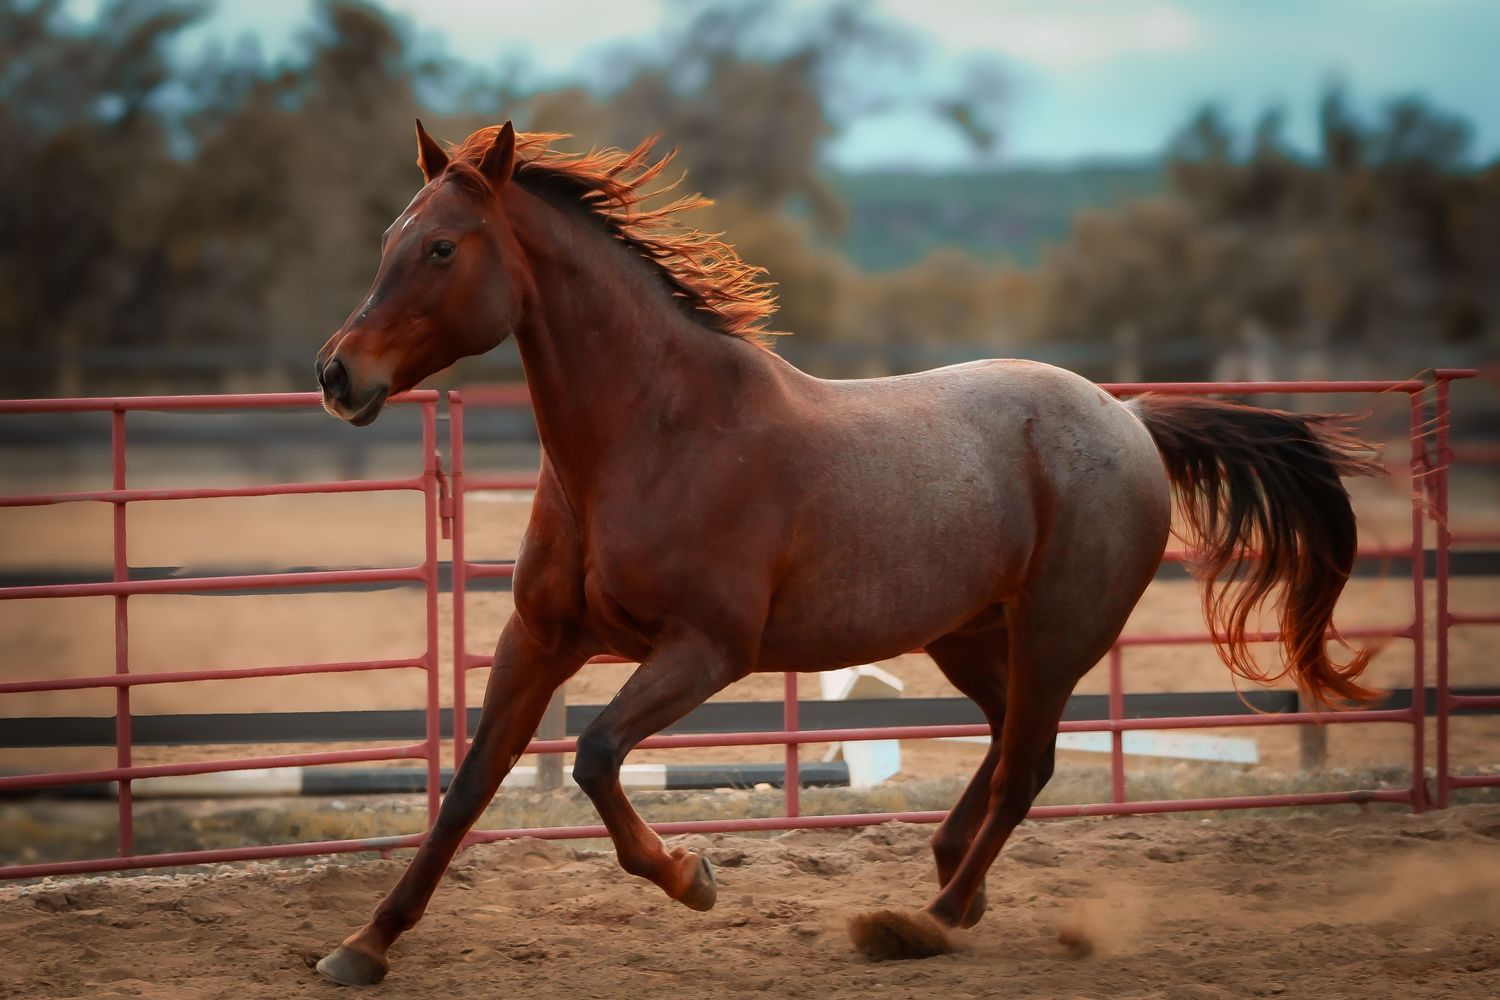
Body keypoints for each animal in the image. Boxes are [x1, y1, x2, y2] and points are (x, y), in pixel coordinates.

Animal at [311, 120, 1381, 985]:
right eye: (388, 240)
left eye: (441, 246)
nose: (336, 373)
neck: (652, 435)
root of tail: (1130, 417)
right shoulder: (540, 639)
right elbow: (469, 785)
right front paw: (362, 947)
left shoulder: (707, 649)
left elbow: (597, 754)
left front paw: (691, 876)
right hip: (970, 637)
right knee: (1011, 749)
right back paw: (953, 877)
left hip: (1055, 635)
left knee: (1023, 766)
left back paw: (925, 921)